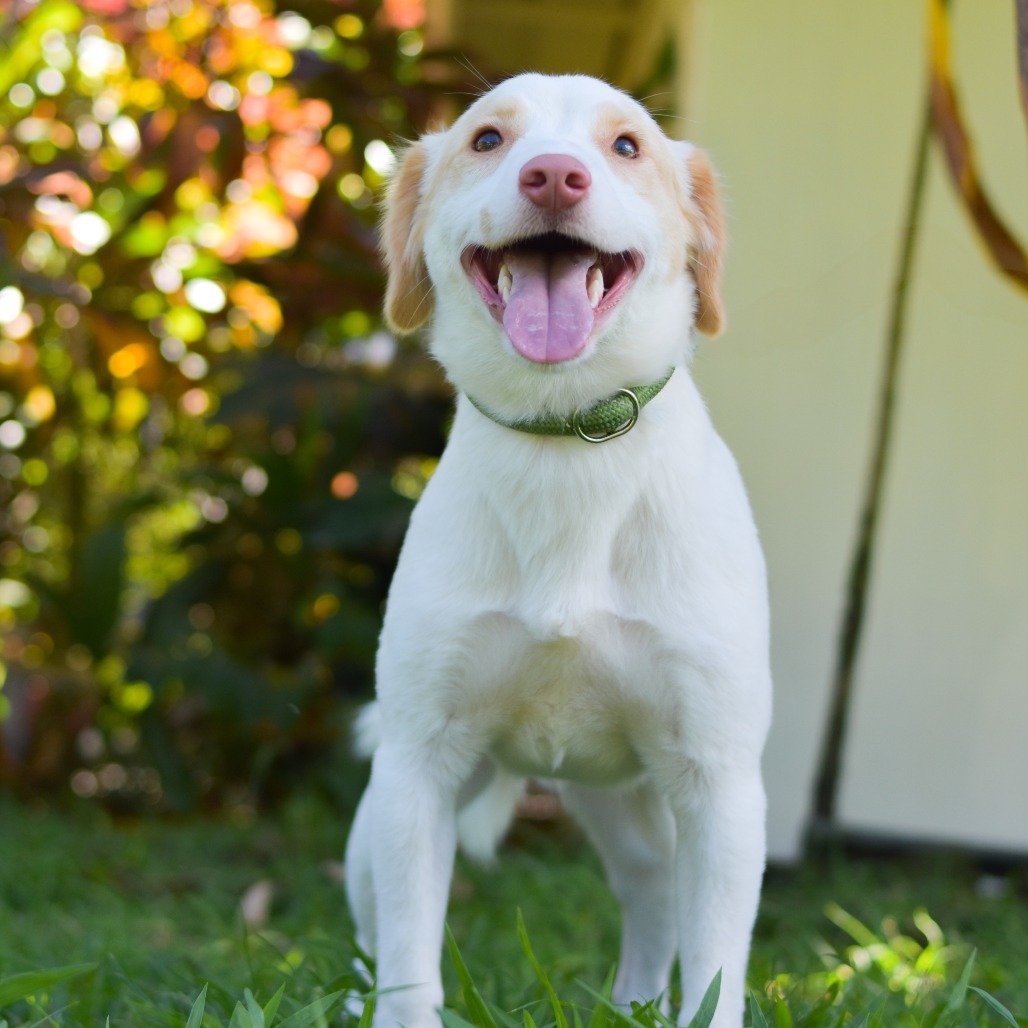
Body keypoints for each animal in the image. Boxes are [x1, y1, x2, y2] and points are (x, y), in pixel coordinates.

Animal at [345, 74, 773, 1028]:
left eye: (626, 146)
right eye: (488, 139)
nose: (552, 176)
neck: (567, 443)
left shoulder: (719, 785)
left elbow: (713, 974)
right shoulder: (418, 766)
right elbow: (409, 962)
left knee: (655, 895)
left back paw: (638, 1001)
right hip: (383, 821)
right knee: (376, 930)